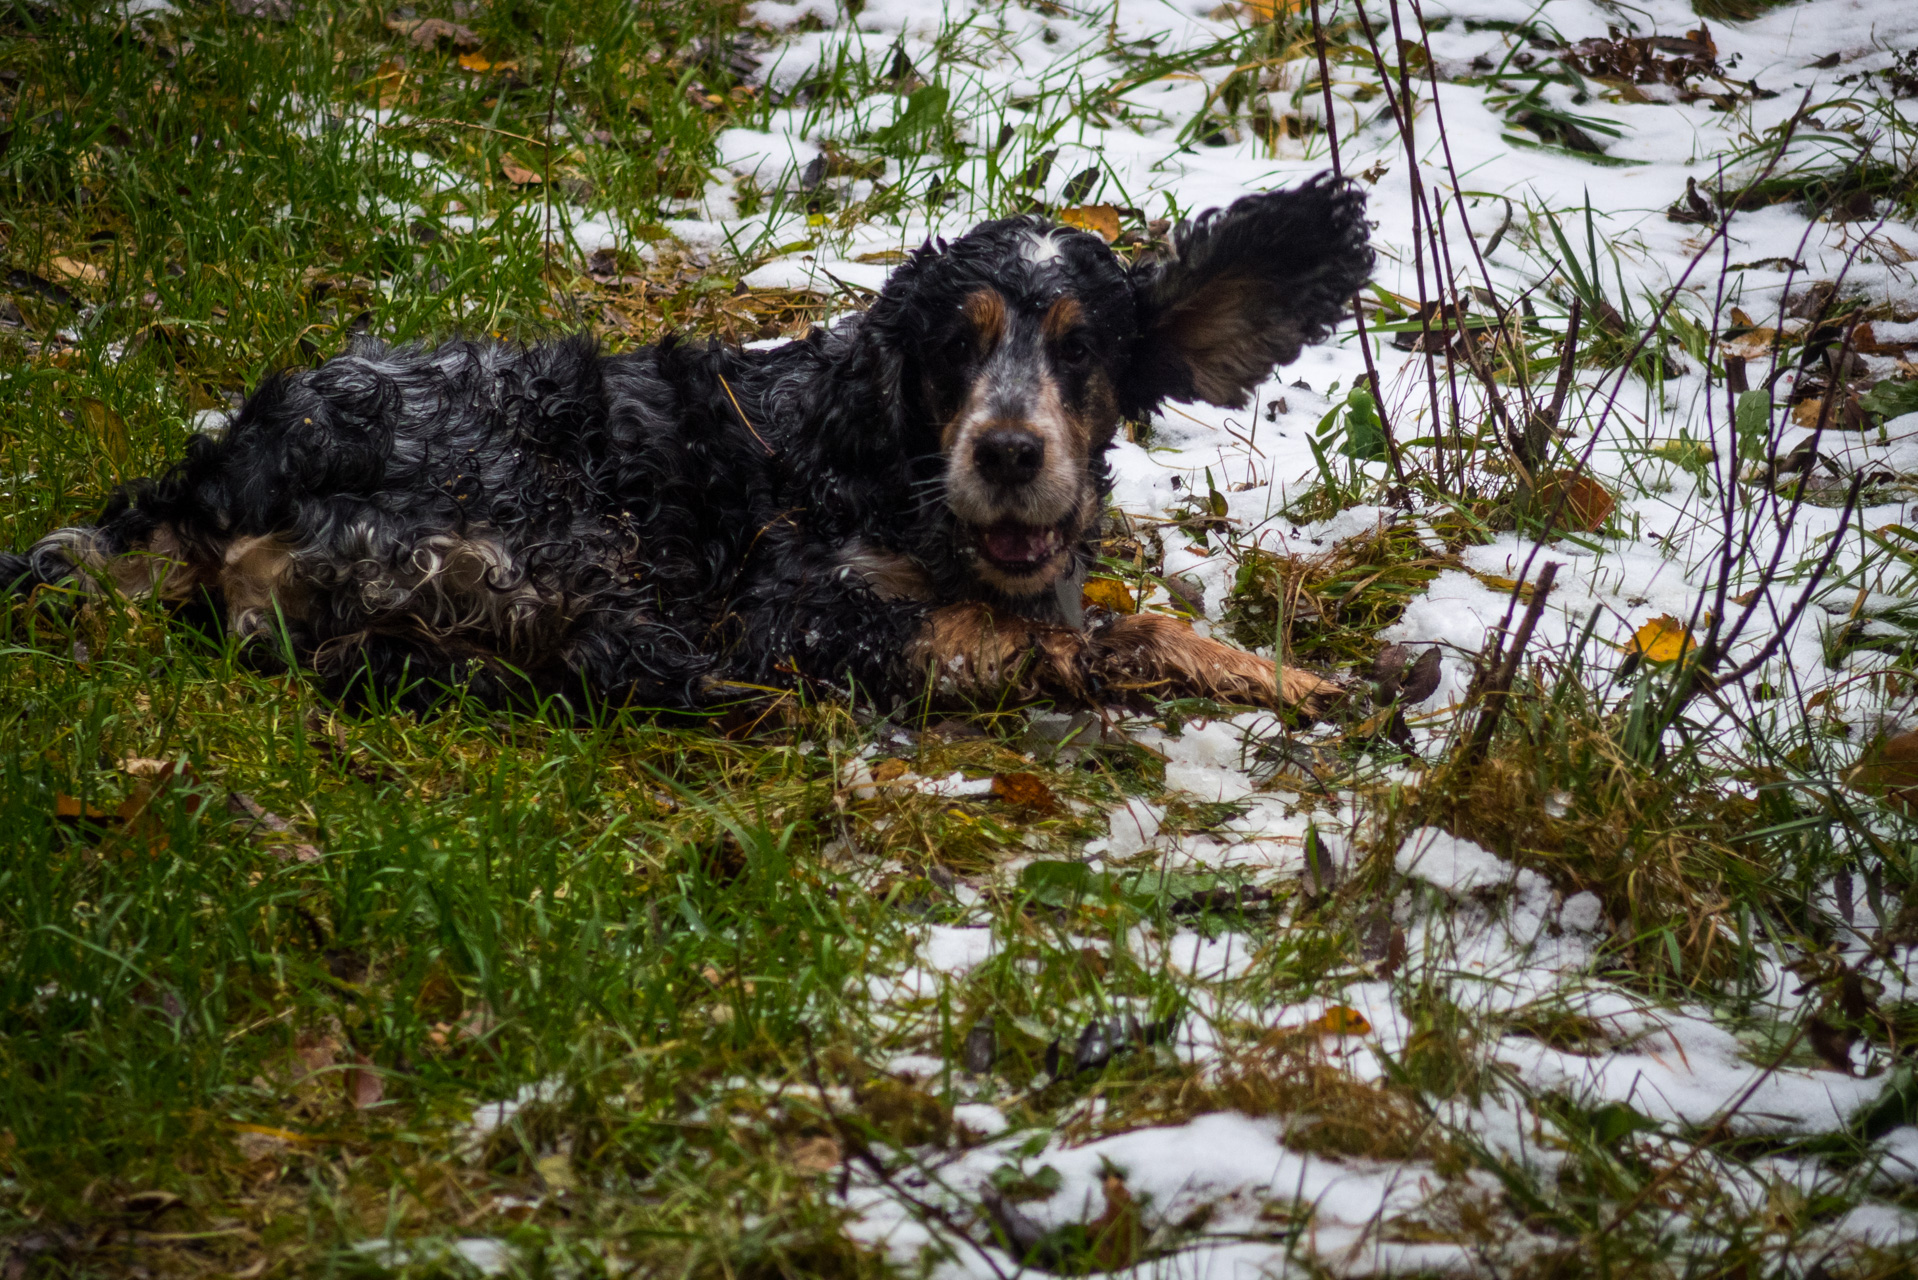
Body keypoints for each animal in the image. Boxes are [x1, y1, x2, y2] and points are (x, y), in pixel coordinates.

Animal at [7, 177, 1373, 721]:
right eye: (953, 346)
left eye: (1085, 351)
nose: (1005, 452)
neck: (891, 470)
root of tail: (212, 472)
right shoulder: (797, 609)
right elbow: (1072, 636)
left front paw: (1298, 677)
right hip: (547, 528)